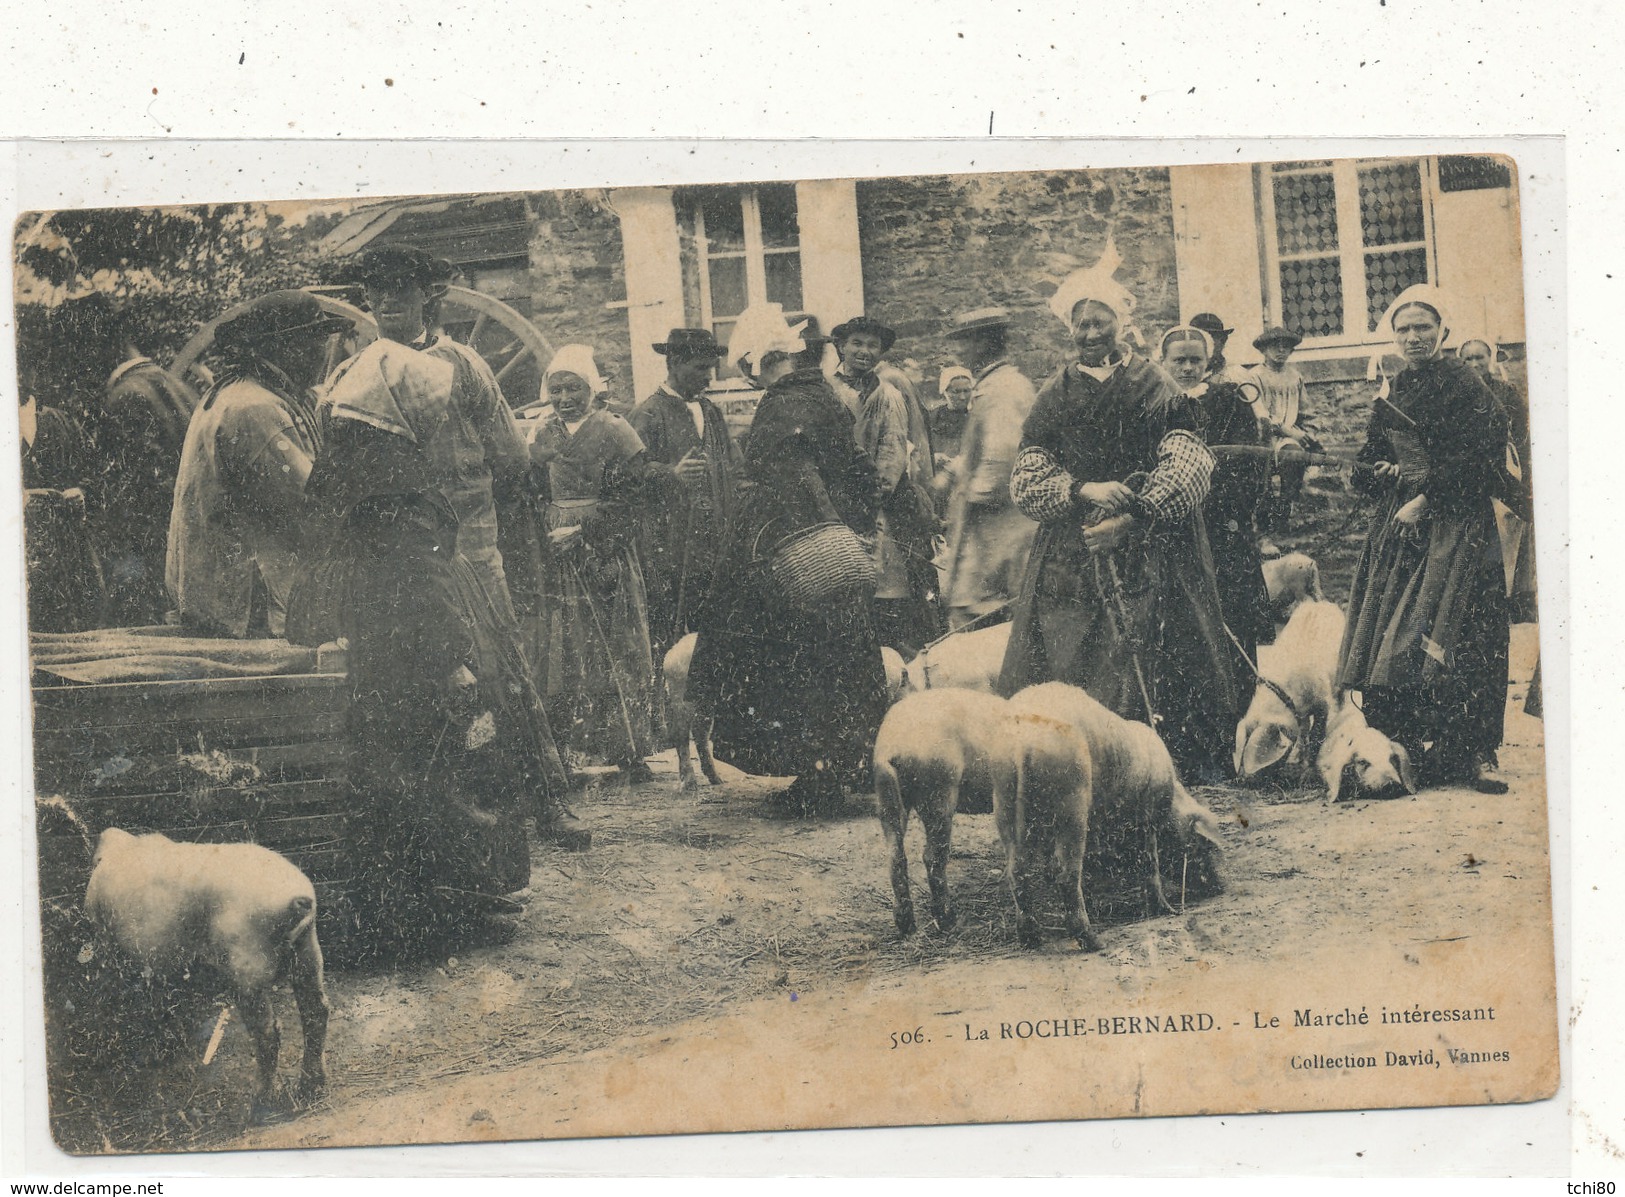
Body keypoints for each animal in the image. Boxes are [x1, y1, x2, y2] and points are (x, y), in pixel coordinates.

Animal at [84, 825, 331, 1117]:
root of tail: (297, 897)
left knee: (268, 1034)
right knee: (316, 1012)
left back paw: (260, 1104)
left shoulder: (108, 944)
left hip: (247, 965)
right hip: (308, 952)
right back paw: (311, 1089)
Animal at [877, 691, 1014, 935]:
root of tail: (894, 743)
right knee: (933, 856)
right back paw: (948, 920)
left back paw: (906, 925)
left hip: (887, 796)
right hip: (939, 791)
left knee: (895, 855)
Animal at [1228, 597, 1345, 776]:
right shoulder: (1299, 713)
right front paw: (1298, 758)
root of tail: (1321, 603)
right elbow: (1303, 730)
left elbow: (1317, 729)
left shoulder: (1322, 702)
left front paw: (1309, 766)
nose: (1241, 777)